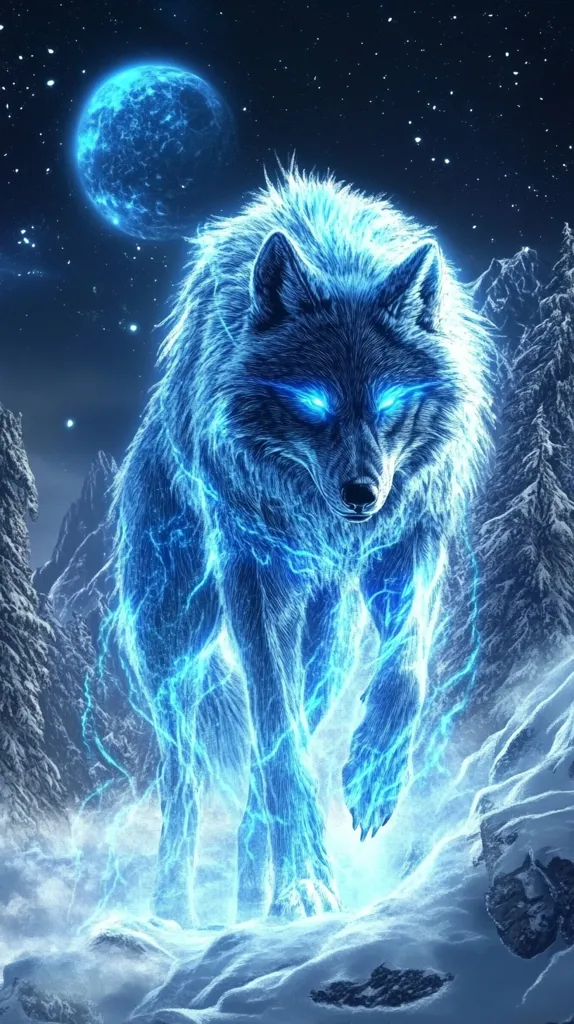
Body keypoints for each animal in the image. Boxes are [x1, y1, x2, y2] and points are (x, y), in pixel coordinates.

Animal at [113, 163, 491, 926]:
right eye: (312, 401)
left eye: (390, 401)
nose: (362, 495)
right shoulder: (254, 578)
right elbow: (278, 741)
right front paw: (307, 884)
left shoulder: (409, 546)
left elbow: (407, 670)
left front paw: (373, 779)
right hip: (174, 651)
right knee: (187, 781)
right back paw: (175, 910)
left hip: (327, 654)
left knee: (260, 780)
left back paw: (253, 899)